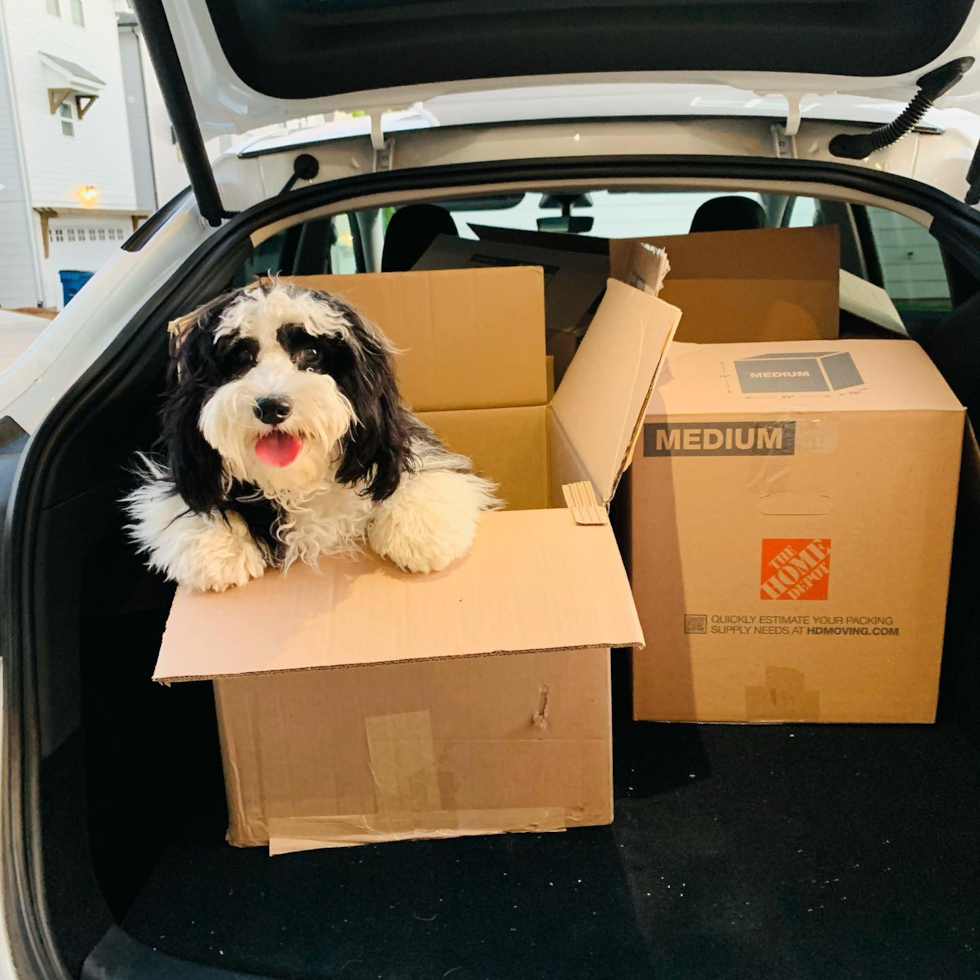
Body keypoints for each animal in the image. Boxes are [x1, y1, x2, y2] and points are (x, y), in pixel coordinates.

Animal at [128, 280, 498, 592]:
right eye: (242, 357)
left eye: (312, 354)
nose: (271, 406)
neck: (298, 483)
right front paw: (217, 548)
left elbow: (429, 474)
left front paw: (418, 534)